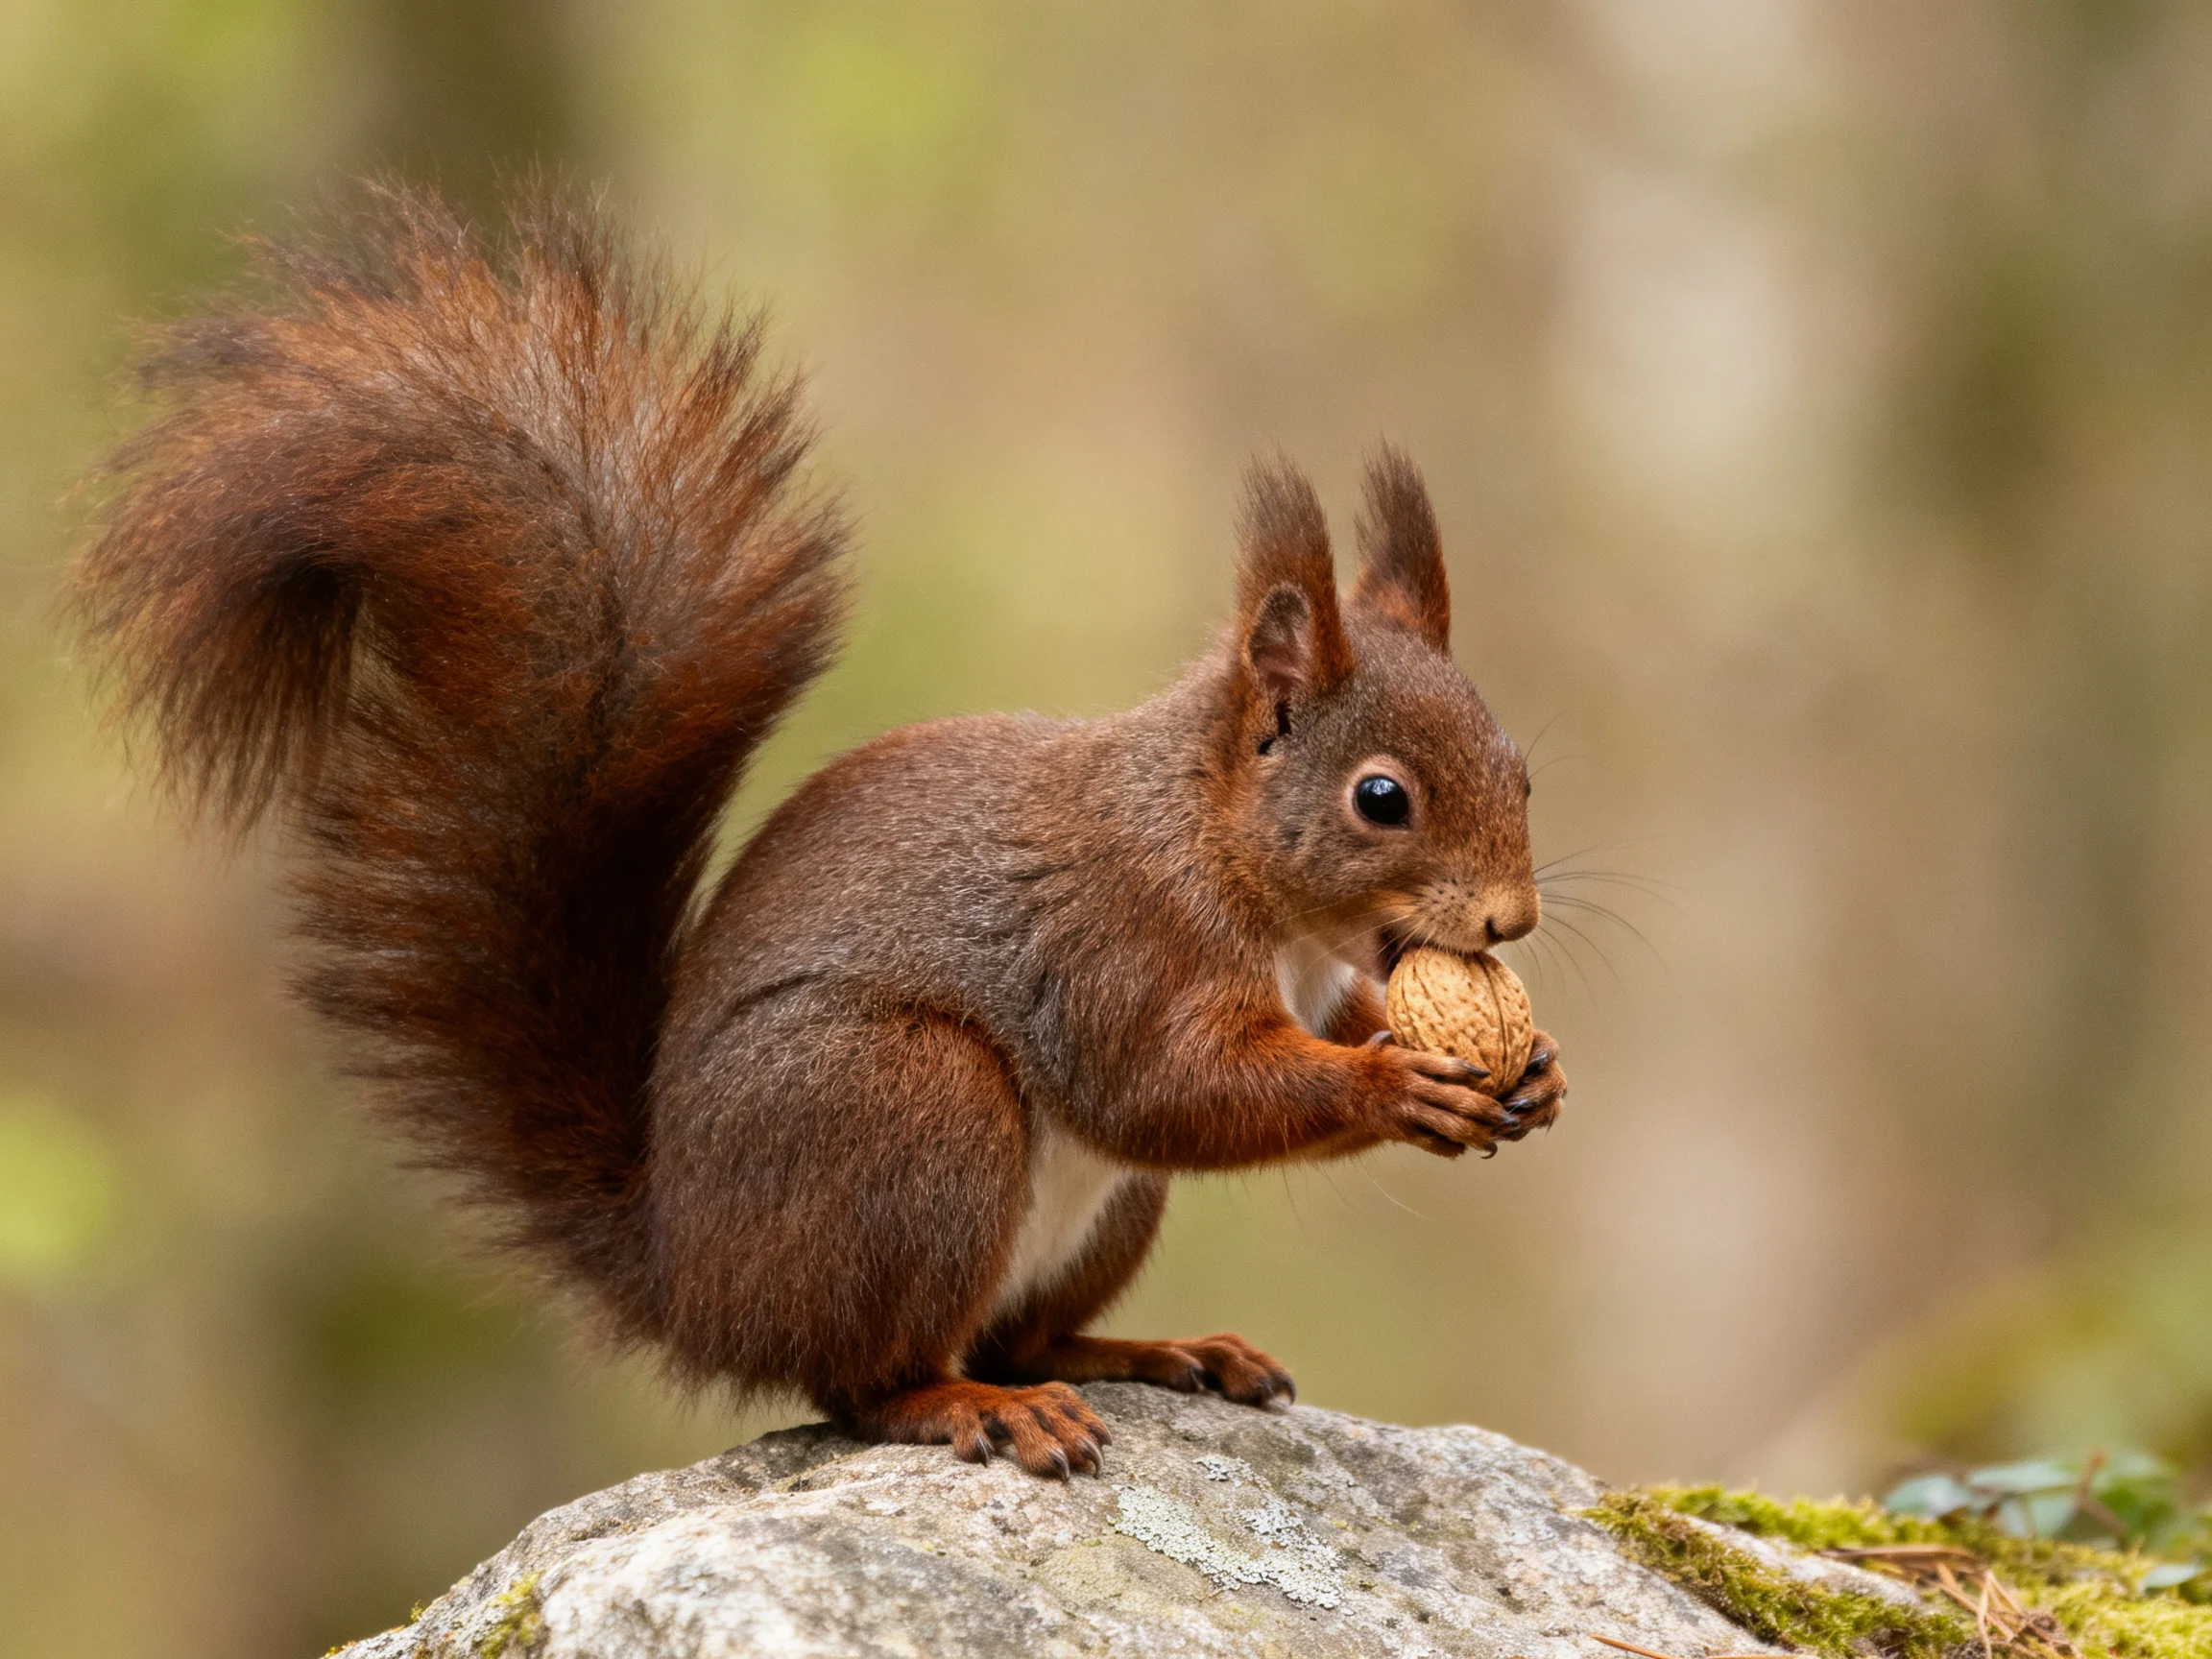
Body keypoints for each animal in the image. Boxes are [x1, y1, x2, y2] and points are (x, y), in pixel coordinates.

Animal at [68, 184, 1565, 1479]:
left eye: (1524, 773)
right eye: (1382, 798)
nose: (1513, 921)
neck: (1233, 863)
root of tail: (691, 1276)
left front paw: (1529, 1069)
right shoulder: (1116, 945)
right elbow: (1169, 1088)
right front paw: (1395, 1086)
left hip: (1092, 1206)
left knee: (1023, 1331)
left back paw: (1152, 1350)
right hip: (905, 1106)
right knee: (865, 1377)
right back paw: (974, 1406)